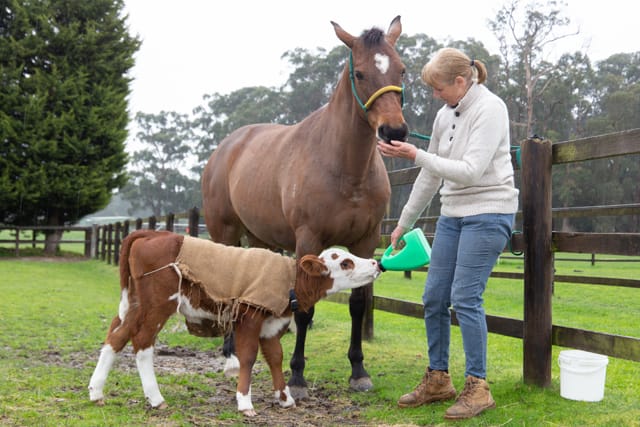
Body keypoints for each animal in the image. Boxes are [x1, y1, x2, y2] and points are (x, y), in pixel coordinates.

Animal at [88, 230, 381, 416]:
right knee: (142, 342)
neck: (290, 278)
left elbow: (275, 357)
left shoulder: (271, 324)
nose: (376, 263)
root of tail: (150, 234)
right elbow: (248, 357)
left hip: (135, 303)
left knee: (117, 336)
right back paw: (156, 398)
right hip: (159, 304)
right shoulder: (250, 318)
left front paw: (285, 398)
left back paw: (96, 392)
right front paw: (244, 402)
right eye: (345, 262)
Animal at [201, 16, 407, 398]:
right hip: (225, 232)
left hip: (261, 240)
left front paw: (358, 371)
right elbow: (304, 308)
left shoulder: (365, 241)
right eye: (360, 73)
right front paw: (297, 378)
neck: (345, 168)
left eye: (401, 69)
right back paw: (230, 350)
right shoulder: (308, 241)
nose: (394, 130)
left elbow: (358, 305)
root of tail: (226, 147)